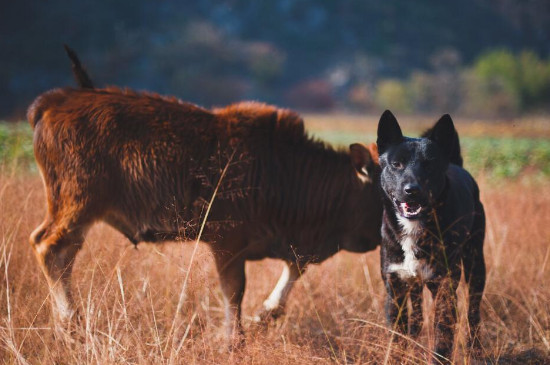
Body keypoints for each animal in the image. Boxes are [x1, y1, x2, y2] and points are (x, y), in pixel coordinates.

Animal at [28, 63, 382, 342]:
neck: (283, 167)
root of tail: (57, 101)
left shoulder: (292, 245)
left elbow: (292, 272)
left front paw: (262, 316)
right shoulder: (227, 243)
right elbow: (234, 291)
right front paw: (234, 339)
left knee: (65, 255)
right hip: (76, 206)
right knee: (50, 248)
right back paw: (70, 326)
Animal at [380, 110, 488, 362]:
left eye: (429, 165)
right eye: (396, 164)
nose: (412, 190)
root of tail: (456, 163)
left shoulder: (444, 290)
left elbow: (442, 341)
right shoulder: (395, 288)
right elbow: (397, 338)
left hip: (475, 264)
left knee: (473, 313)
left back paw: (475, 350)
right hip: (415, 285)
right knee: (417, 318)